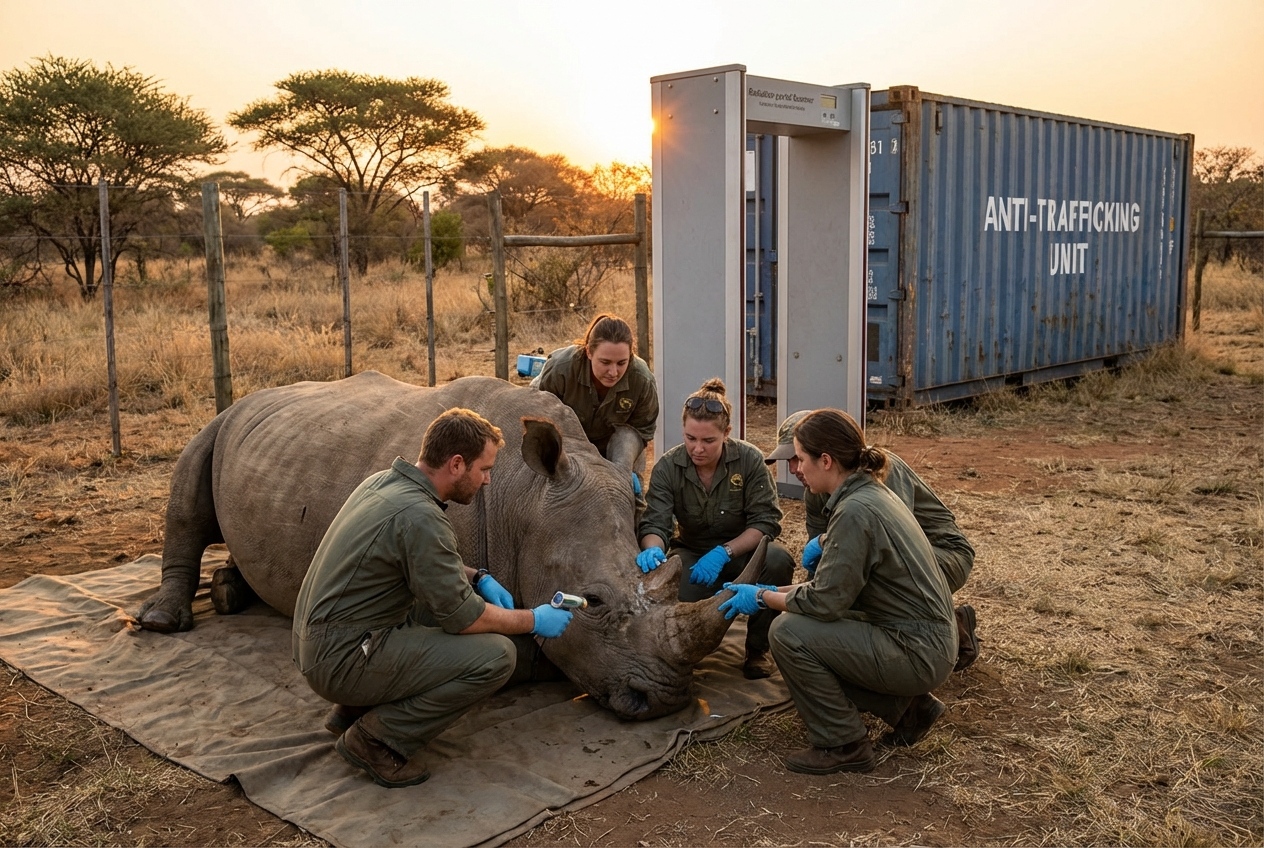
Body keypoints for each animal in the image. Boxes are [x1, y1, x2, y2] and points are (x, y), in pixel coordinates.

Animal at [137, 372, 764, 721]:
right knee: (189, 482)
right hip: (224, 418)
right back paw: (163, 623)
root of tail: (255, 396)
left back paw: (227, 593)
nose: (663, 699)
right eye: (593, 601)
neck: (524, 496)